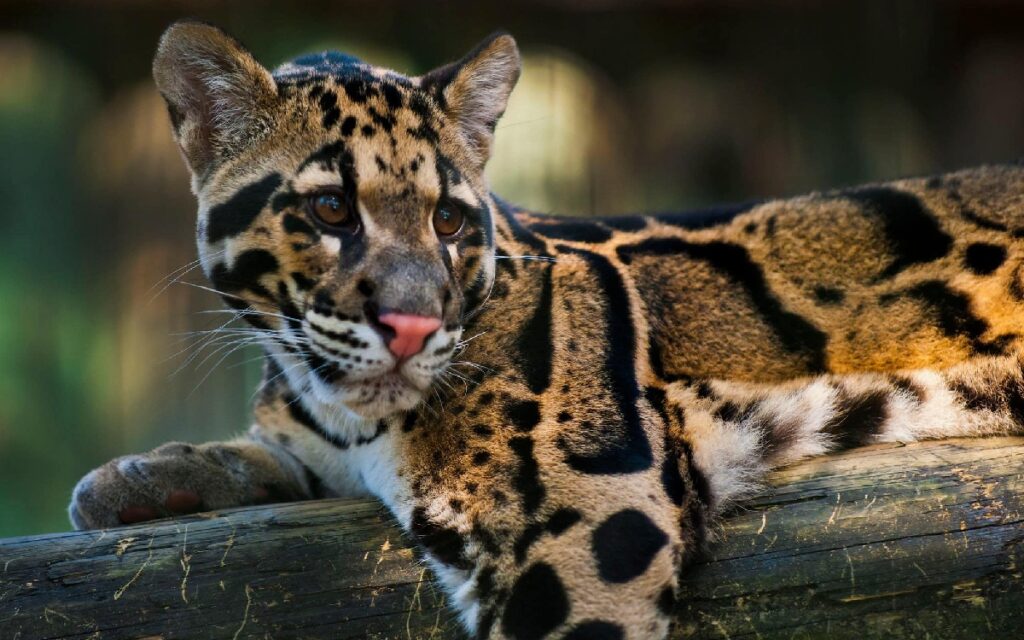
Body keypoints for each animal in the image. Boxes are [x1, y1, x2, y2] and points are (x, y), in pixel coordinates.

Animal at [68, 21, 1024, 640]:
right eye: (332, 209)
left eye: (451, 221)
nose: (412, 325)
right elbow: (273, 455)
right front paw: (150, 477)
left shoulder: (595, 522)